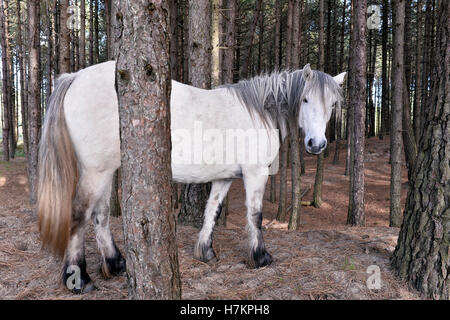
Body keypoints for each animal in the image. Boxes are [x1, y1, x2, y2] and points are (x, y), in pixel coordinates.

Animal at [37, 60, 346, 292]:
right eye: (305, 99)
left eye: (332, 104)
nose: (317, 144)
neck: (257, 112)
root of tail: (76, 77)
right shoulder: (255, 173)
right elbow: (255, 216)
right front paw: (260, 257)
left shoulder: (224, 177)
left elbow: (212, 211)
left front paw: (206, 252)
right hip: (96, 171)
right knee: (79, 214)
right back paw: (79, 279)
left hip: (107, 170)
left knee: (100, 215)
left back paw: (115, 264)